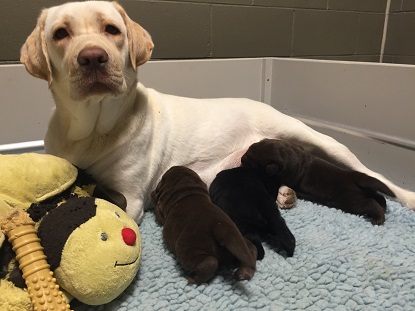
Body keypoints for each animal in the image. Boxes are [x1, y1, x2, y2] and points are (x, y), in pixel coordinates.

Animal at [244, 138, 396, 224]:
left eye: (250, 159)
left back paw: (378, 218)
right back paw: (383, 207)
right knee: (380, 197)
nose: (241, 158)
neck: (288, 154)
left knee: (370, 203)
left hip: (353, 201)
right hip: (366, 191)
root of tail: (355, 176)